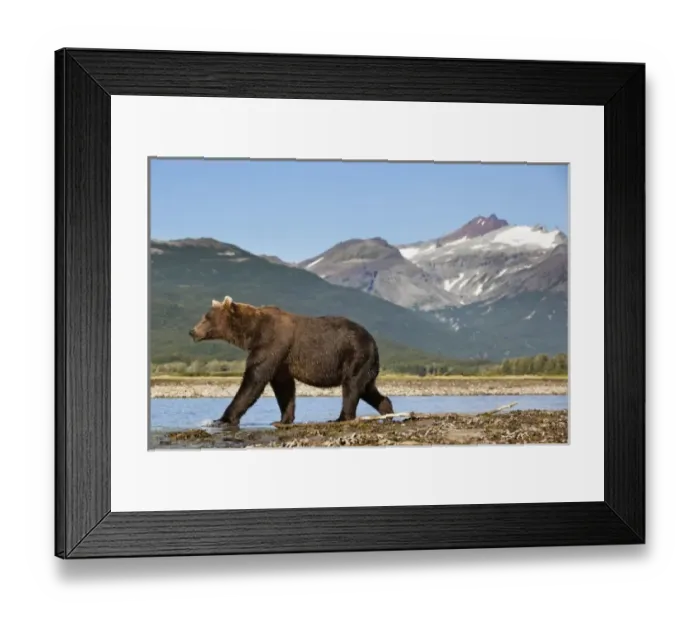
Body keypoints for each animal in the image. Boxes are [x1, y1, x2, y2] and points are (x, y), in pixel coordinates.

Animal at [188, 296, 394, 427]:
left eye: (206, 317)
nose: (192, 331)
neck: (252, 332)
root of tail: (372, 341)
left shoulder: (272, 345)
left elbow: (254, 380)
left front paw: (222, 419)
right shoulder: (281, 359)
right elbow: (284, 387)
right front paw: (283, 419)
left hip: (355, 354)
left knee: (351, 387)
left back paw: (341, 418)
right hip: (365, 364)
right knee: (366, 388)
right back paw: (387, 412)